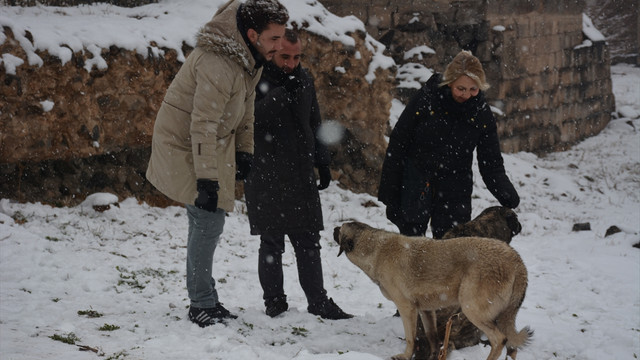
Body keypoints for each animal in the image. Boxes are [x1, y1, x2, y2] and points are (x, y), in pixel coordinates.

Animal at [332, 222, 532, 360]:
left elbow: (411, 338)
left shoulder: (407, 308)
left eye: (340, 229)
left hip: (472, 310)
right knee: (511, 346)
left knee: (499, 340)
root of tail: (517, 261)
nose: (333, 227)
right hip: (500, 316)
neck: (375, 250)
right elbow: (432, 337)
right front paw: (435, 355)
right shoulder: (426, 310)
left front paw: (405, 356)